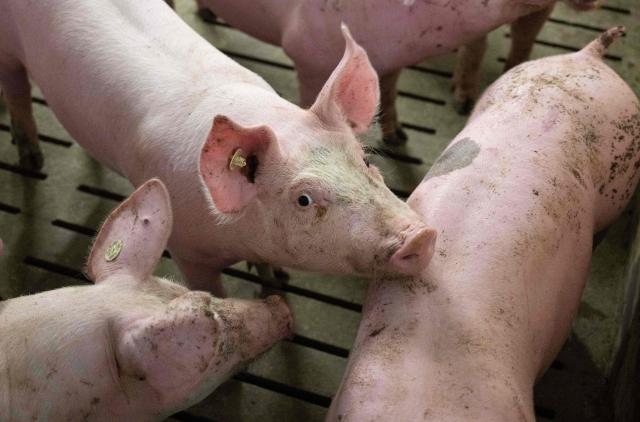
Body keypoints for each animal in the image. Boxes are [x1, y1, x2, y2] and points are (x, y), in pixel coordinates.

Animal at [0, 0, 436, 296]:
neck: (235, 235)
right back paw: (31, 157)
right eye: (304, 200)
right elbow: (209, 291)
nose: (421, 236)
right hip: (9, 51)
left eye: (364, 160)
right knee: (16, 89)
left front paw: (277, 281)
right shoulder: (185, 248)